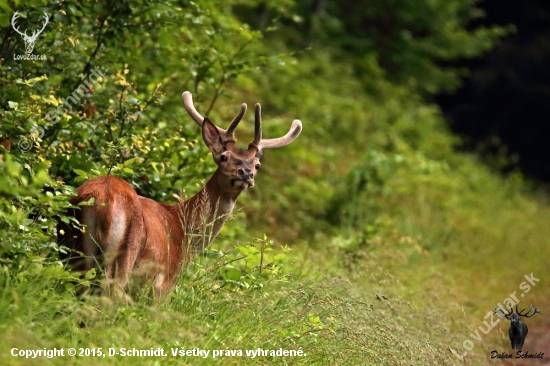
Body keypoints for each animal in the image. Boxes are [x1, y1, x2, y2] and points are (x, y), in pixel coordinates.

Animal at [58, 91, 304, 294]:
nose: (245, 173)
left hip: (69, 247)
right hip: (124, 254)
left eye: (257, 165)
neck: (184, 231)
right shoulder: (165, 280)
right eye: (224, 157)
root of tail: (103, 199)